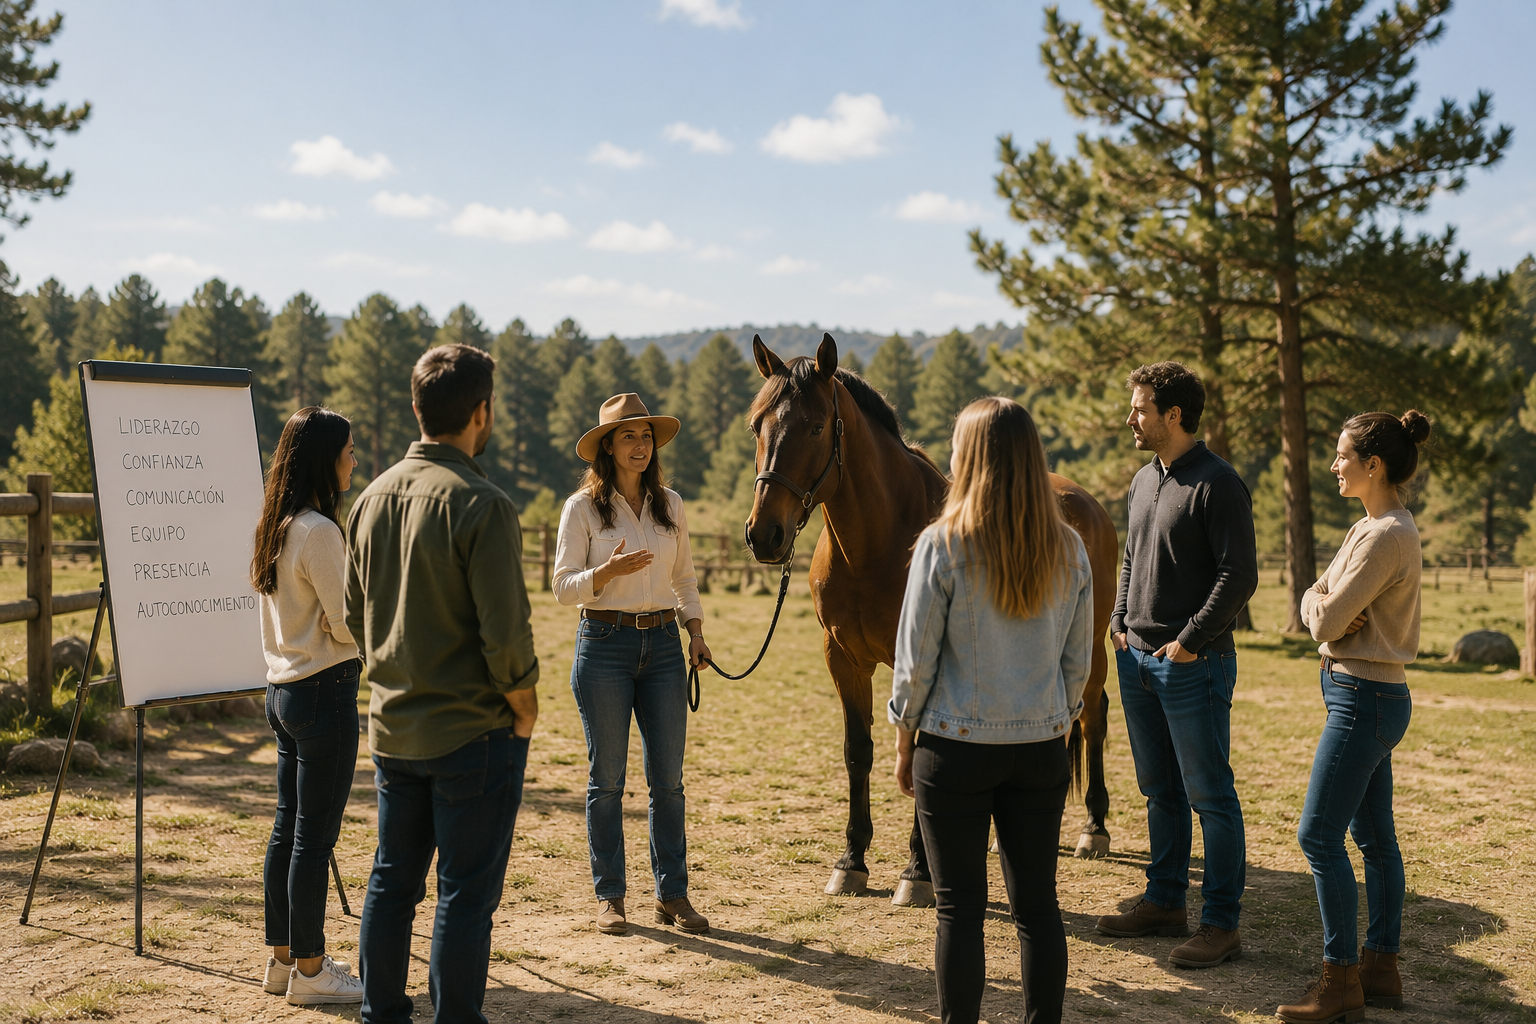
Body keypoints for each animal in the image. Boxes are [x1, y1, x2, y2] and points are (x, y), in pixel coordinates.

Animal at [742, 333, 1121, 907]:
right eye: (756, 425)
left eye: (815, 426)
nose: (765, 534)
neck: (879, 544)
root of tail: (1086, 502)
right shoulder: (844, 661)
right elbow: (858, 753)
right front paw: (851, 861)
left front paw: (917, 872)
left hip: (1090, 645)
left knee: (1093, 717)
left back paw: (1093, 828)